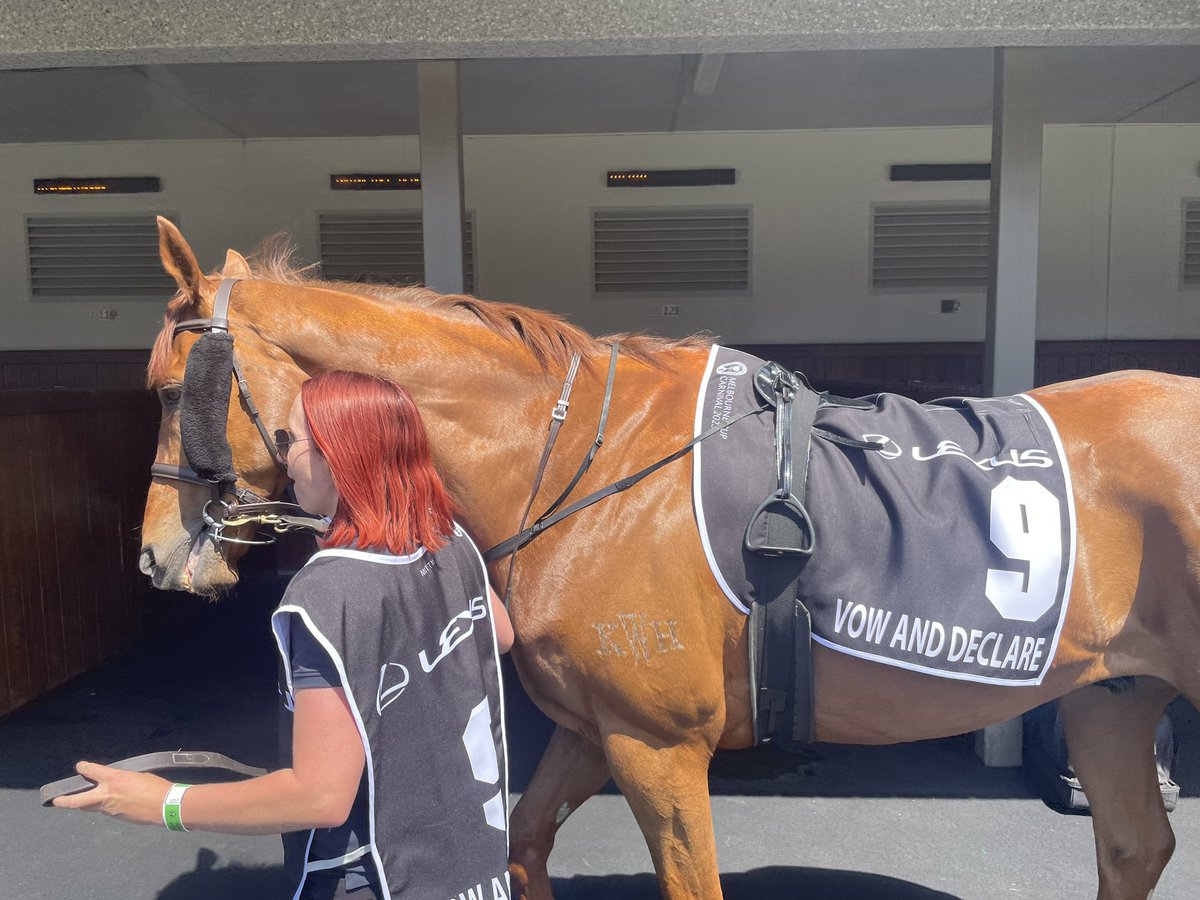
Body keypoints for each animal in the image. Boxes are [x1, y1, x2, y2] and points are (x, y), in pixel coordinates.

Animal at [137, 217, 1200, 900]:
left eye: (167, 390)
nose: (154, 558)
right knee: (1133, 848)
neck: (582, 459)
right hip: (1111, 697)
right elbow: (523, 845)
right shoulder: (593, 728)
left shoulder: (659, 747)